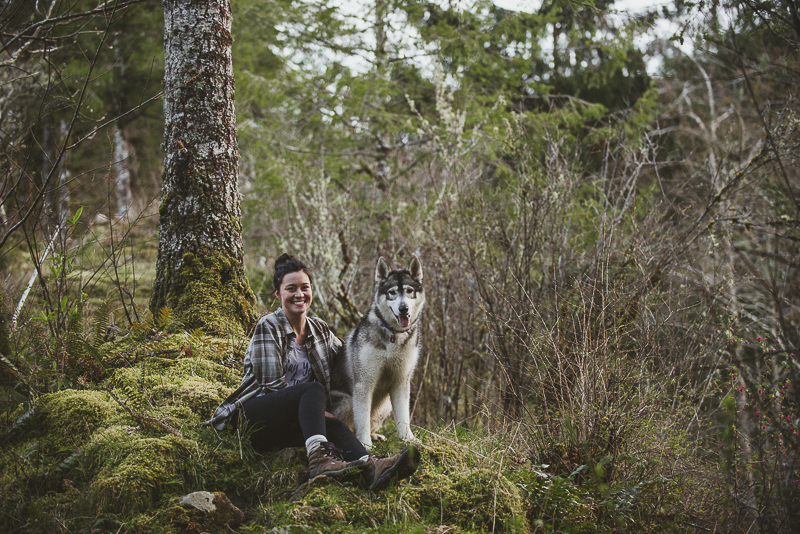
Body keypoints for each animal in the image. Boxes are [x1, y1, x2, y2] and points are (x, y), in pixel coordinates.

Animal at [330, 255, 424, 448]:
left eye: (409, 290)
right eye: (392, 292)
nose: (403, 308)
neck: (393, 335)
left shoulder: (401, 381)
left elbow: (403, 417)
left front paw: (408, 439)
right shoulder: (364, 383)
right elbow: (363, 420)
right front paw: (365, 444)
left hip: (385, 405)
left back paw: (375, 436)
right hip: (348, 401)